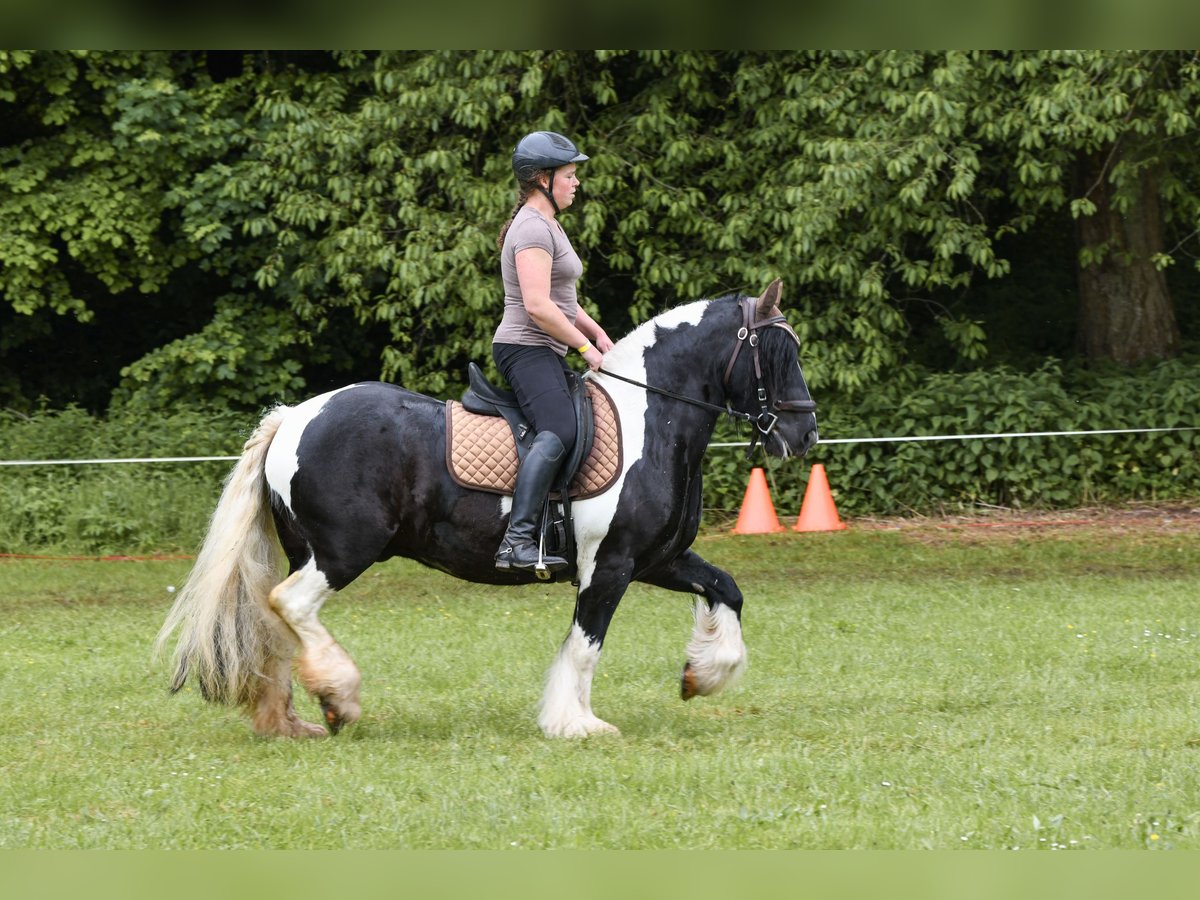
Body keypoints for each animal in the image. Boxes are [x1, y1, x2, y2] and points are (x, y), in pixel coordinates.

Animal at [156, 279, 819, 739]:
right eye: (777, 354)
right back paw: (341, 699)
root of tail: (294, 415)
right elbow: (586, 644)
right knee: (290, 604)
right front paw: (576, 725)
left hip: (310, 550)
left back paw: (291, 722)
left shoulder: (657, 558)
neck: (650, 420)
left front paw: (701, 675)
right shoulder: (609, 566)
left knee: (278, 625)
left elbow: (726, 589)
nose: (804, 435)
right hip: (344, 551)